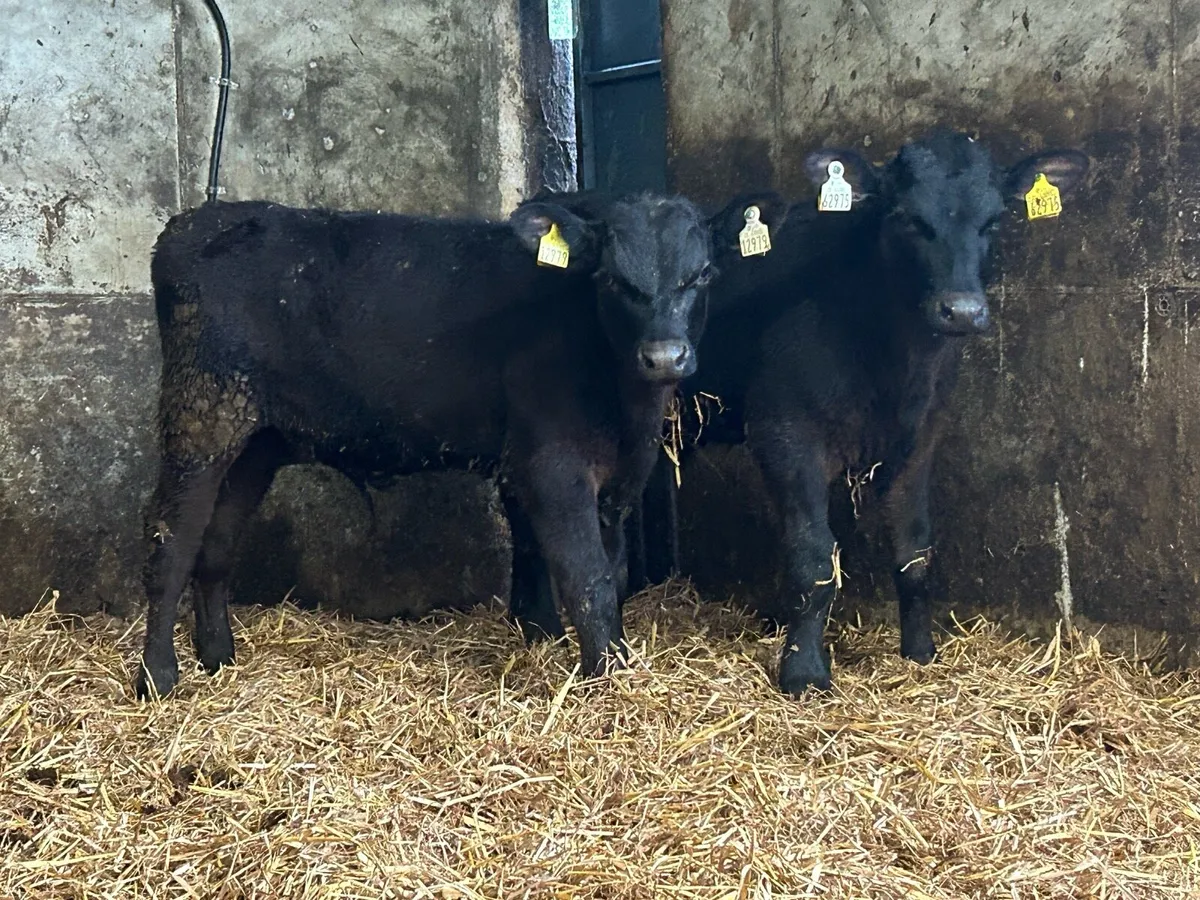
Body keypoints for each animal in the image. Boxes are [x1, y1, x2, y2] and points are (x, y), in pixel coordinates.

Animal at [135, 193, 715, 699]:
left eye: (703, 273)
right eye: (612, 278)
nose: (664, 356)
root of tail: (193, 222)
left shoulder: (603, 477)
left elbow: (595, 569)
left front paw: (561, 644)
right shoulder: (552, 467)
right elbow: (587, 577)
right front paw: (608, 679)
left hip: (255, 437)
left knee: (216, 544)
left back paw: (218, 659)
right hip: (200, 415)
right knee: (171, 541)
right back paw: (158, 677)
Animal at [622, 131, 1090, 695]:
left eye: (995, 220)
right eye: (907, 217)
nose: (961, 311)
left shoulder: (921, 436)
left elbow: (914, 550)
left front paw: (920, 652)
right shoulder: (786, 433)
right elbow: (813, 556)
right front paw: (803, 671)